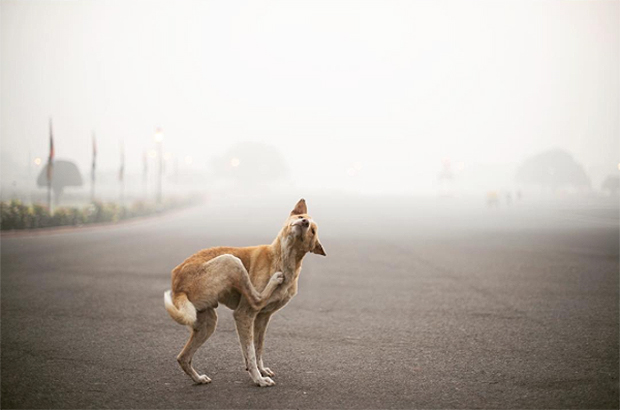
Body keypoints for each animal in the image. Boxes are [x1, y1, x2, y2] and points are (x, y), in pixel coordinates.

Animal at [162, 199, 326, 388]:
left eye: (313, 231)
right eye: (301, 217)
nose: (305, 222)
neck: (284, 259)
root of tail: (177, 285)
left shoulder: (263, 317)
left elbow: (257, 347)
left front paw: (260, 370)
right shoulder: (244, 314)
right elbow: (251, 351)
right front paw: (259, 379)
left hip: (208, 323)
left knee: (182, 357)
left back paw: (198, 378)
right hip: (231, 260)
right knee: (257, 298)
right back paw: (275, 280)